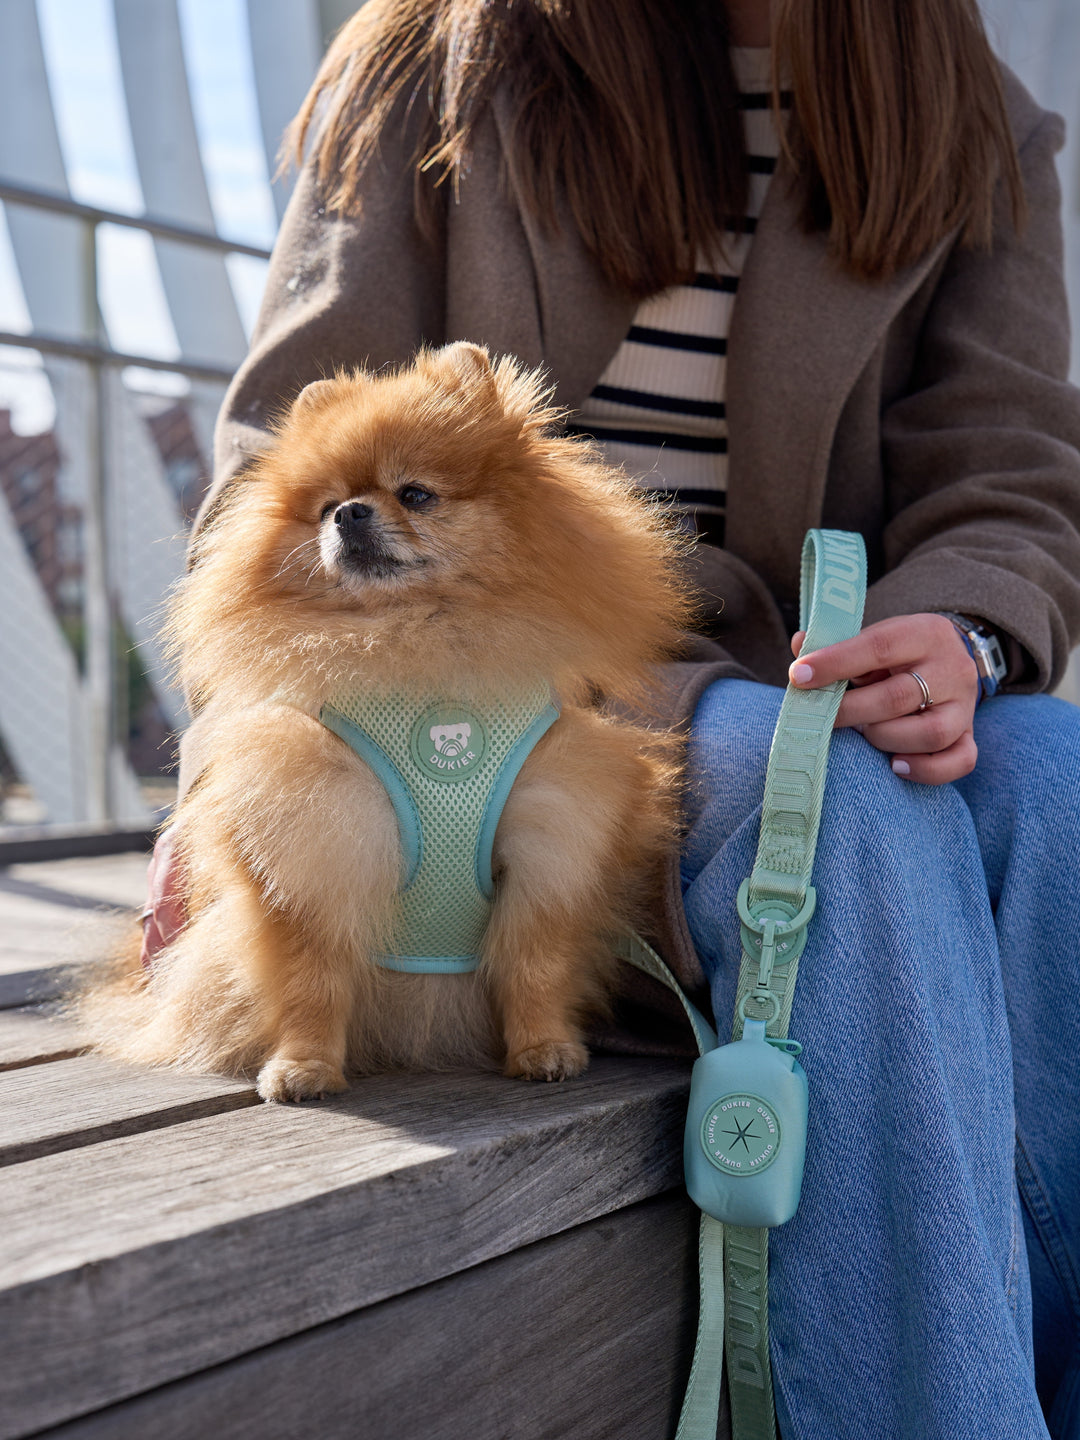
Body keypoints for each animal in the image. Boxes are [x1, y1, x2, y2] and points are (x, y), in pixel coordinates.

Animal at [80, 339, 696, 1100]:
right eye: (323, 508)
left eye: (415, 494)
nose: (348, 514)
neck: (412, 645)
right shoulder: (313, 848)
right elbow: (312, 981)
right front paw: (303, 1066)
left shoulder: (551, 844)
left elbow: (534, 968)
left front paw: (544, 1049)